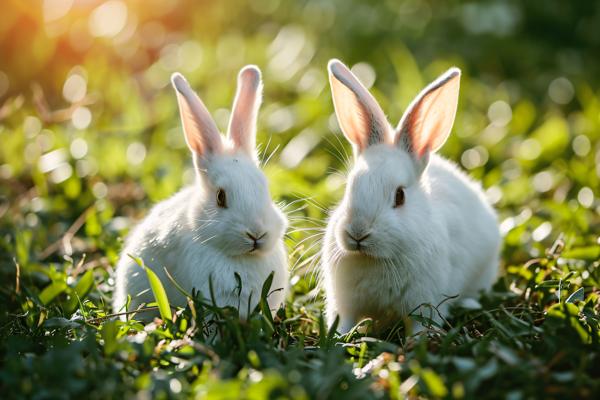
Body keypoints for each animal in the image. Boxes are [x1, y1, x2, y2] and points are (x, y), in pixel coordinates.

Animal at [324, 60, 502, 334]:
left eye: (400, 196)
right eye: (348, 188)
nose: (357, 233)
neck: (376, 259)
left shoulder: (424, 303)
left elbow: (420, 327)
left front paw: (415, 342)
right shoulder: (345, 306)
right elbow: (343, 323)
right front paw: (338, 338)